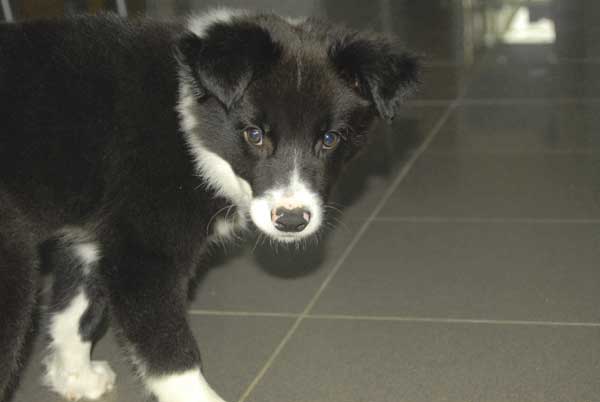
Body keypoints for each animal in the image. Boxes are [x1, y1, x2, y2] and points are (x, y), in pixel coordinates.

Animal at [0, 9, 420, 402]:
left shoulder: (97, 233)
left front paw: (73, 376)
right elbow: (171, 355)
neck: (187, 122)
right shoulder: (145, 257)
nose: (291, 220)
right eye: (254, 135)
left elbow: (76, 309)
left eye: (330, 139)